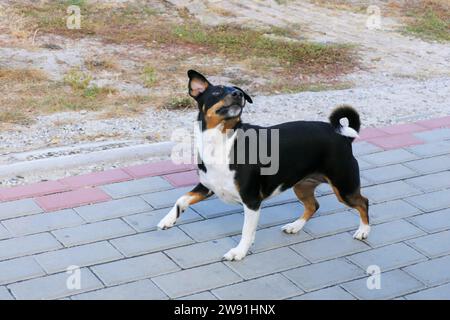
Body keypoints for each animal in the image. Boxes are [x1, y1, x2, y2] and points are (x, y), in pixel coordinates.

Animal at [157, 70, 370, 260]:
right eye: (217, 92)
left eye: (237, 91)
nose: (238, 95)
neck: (223, 140)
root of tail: (343, 136)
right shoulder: (207, 186)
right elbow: (181, 200)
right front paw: (168, 220)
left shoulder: (252, 201)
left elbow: (246, 230)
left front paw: (239, 252)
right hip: (302, 185)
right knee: (313, 205)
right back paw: (295, 226)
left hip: (344, 187)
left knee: (363, 202)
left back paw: (363, 231)